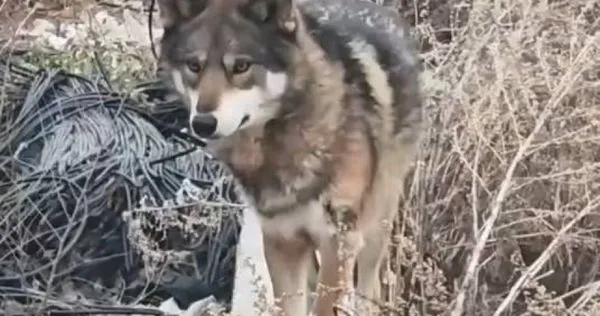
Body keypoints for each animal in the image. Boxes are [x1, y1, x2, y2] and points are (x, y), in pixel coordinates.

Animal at [155, 0, 422, 314]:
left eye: (241, 66)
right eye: (194, 66)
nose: (203, 123)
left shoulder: (339, 242)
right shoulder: (282, 241)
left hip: (376, 225)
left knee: (371, 287)